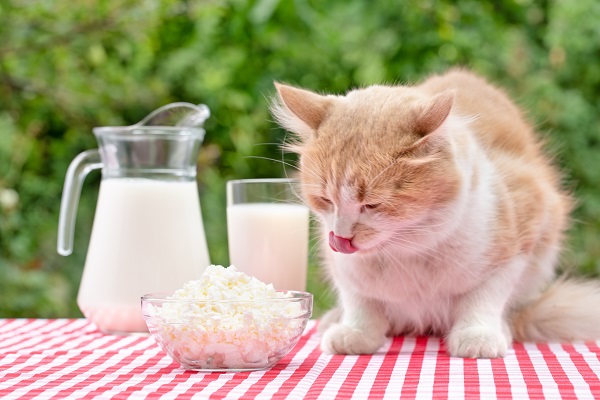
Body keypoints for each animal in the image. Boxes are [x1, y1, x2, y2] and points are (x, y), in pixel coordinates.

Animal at [270, 69, 600, 360]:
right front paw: (357, 331)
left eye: (372, 204)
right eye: (326, 200)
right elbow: (359, 300)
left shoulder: (518, 239)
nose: (340, 238)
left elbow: (485, 297)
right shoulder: (342, 267)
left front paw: (478, 334)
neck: (408, 253)